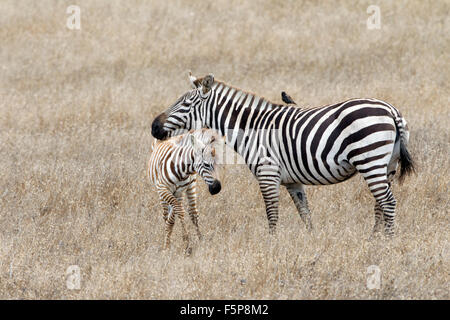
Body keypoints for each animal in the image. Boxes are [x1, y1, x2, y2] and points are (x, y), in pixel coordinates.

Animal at [152, 74, 414, 236]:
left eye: (185, 104)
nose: (153, 127)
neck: (252, 129)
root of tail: (391, 110)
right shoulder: (292, 182)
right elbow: (305, 215)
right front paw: (311, 242)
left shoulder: (267, 173)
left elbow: (272, 215)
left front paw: (272, 246)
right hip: (387, 166)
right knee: (380, 205)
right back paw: (374, 240)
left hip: (370, 160)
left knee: (387, 202)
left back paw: (387, 242)